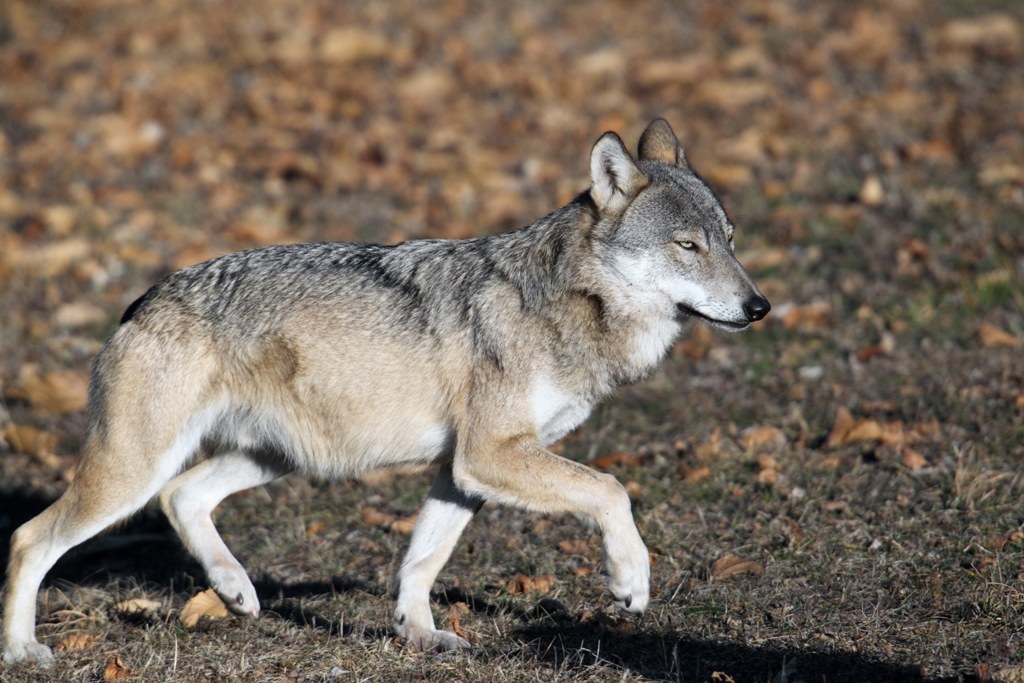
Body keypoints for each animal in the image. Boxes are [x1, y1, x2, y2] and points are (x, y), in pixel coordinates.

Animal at [2, 119, 769, 664]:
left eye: (731, 239)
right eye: (687, 246)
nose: (759, 306)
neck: (566, 304)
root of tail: (143, 299)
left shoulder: (461, 472)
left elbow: (420, 564)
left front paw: (419, 635)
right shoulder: (491, 455)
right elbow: (612, 490)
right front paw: (630, 579)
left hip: (275, 459)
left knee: (181, 496)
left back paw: (235, 590)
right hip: (132, 474)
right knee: (30, 537)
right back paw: (23, 650)